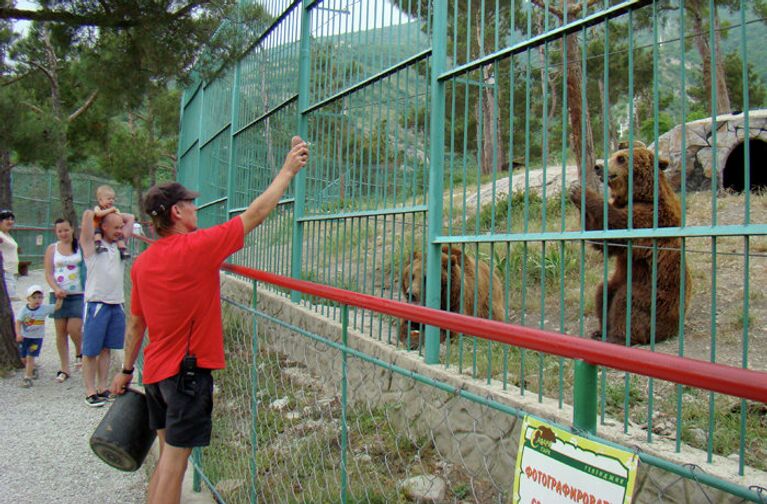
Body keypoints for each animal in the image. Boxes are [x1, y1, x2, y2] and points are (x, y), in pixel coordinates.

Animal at [568, 144, 688, 344]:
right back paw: (600, 330)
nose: (598, 167)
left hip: (656, 296)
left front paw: (581, 191)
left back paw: (617, 336)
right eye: (614, 155)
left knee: (628, 301)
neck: (640, 194)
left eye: (621, 158)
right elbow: (603, 240)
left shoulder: (650, 217)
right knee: (604, 292)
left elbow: (617, 224)